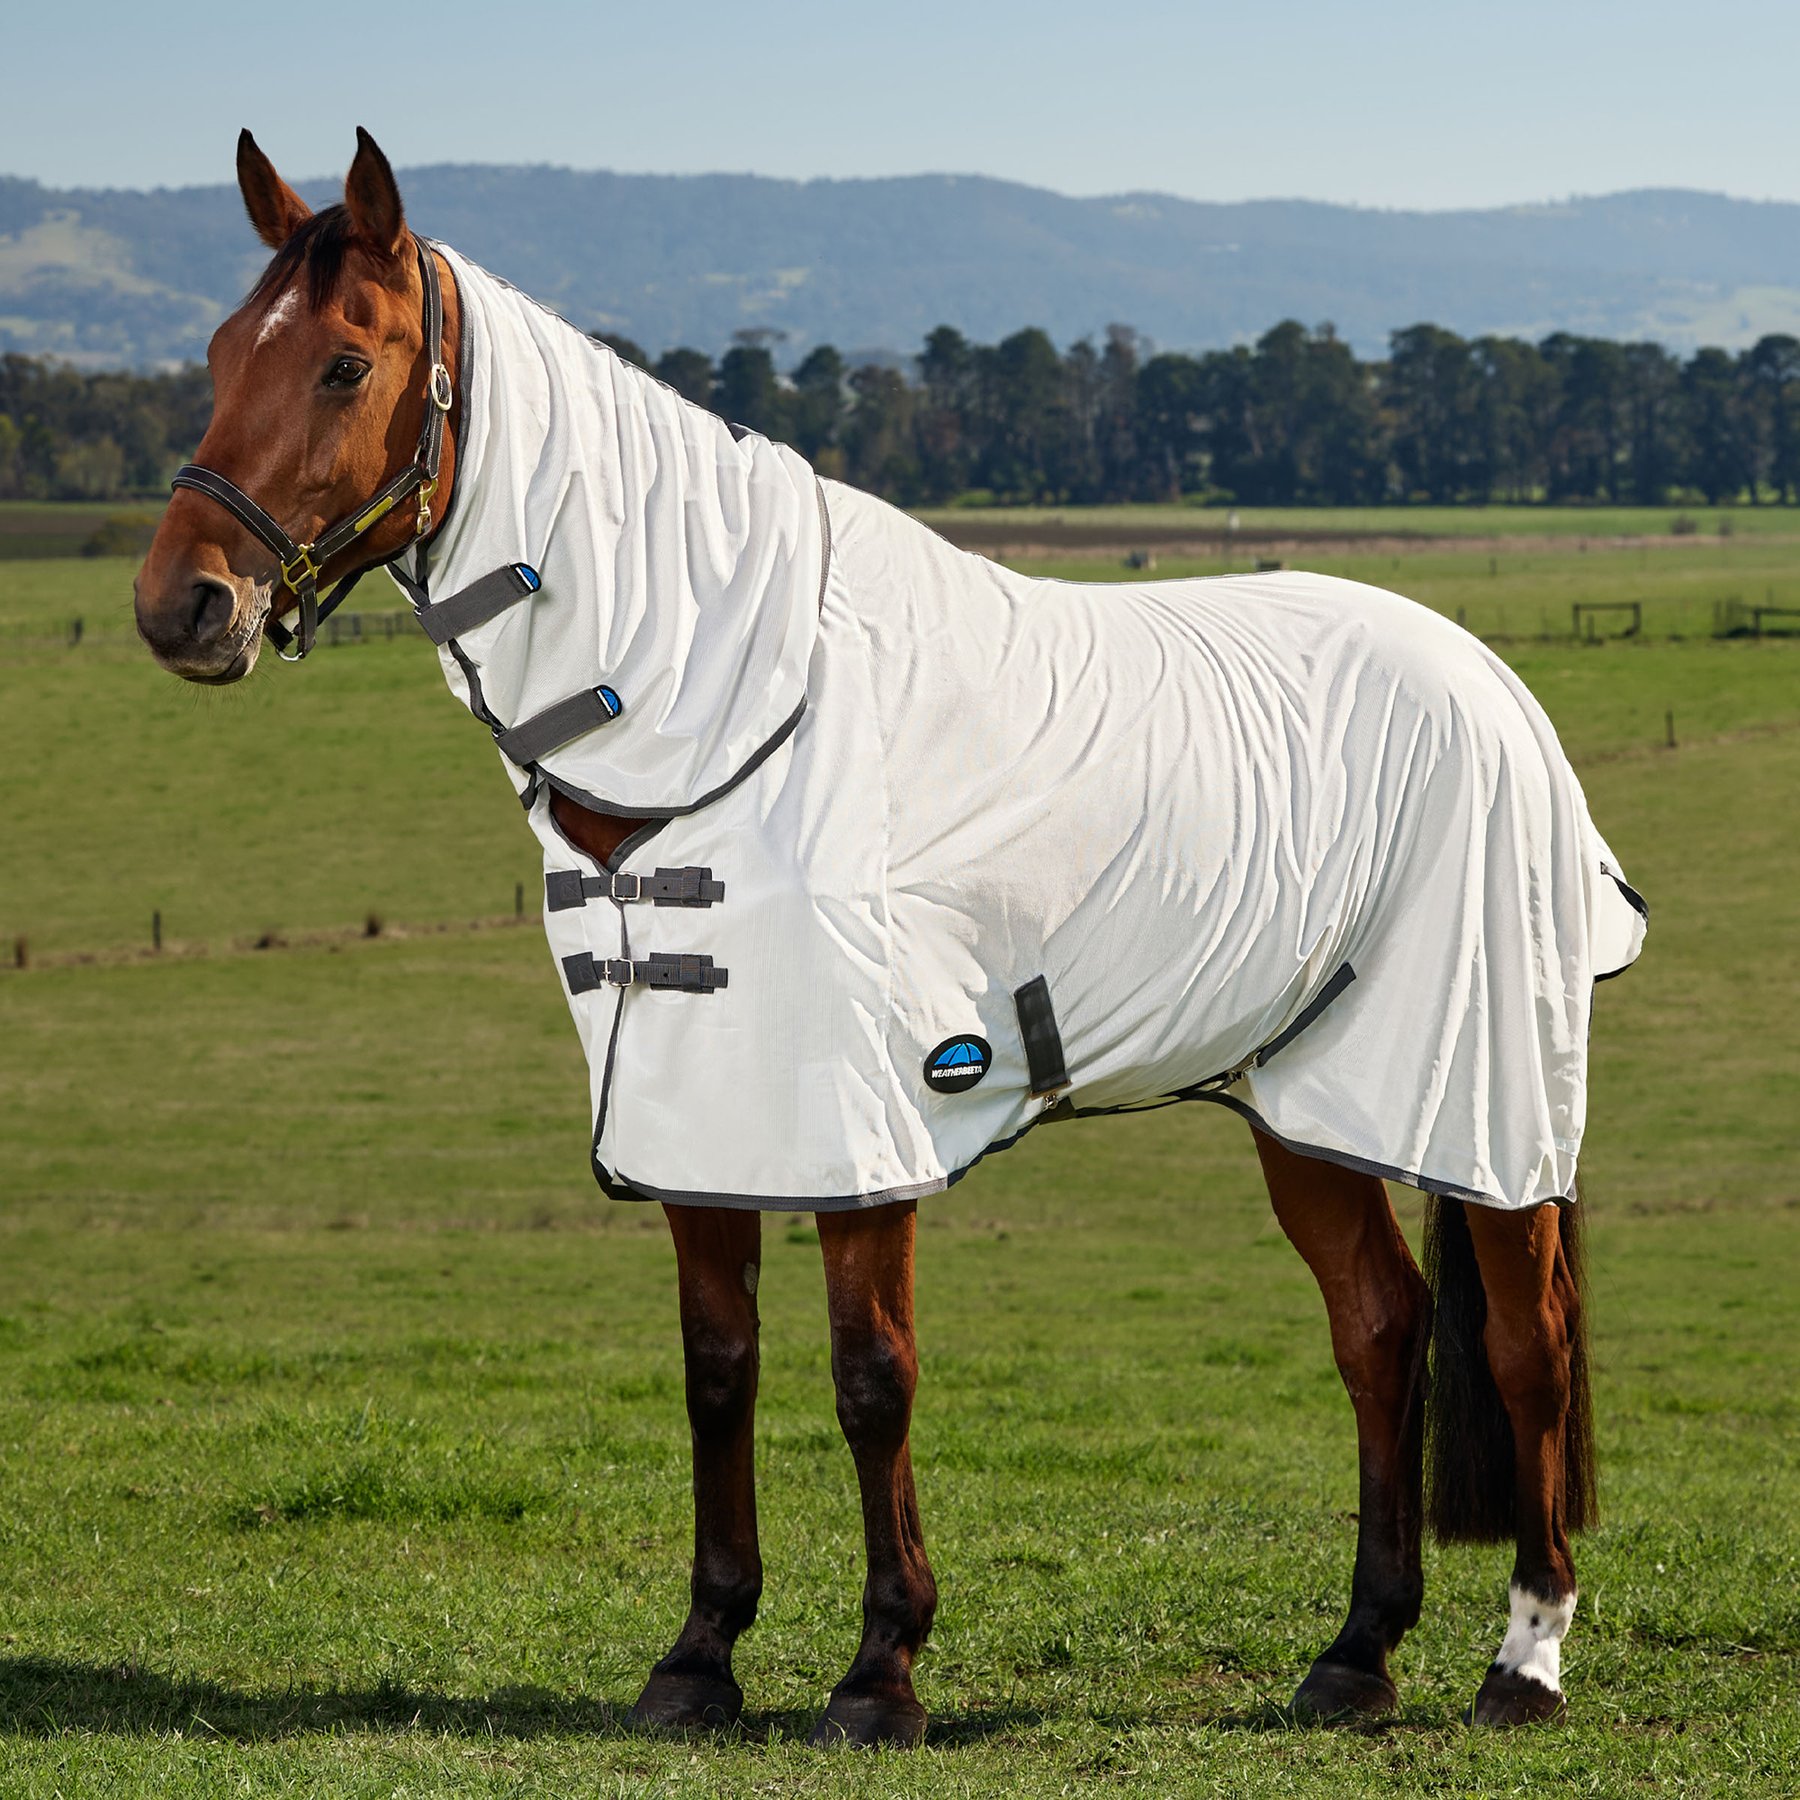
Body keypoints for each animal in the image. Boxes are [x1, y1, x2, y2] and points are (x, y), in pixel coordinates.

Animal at [133, 129, 1645, 1747]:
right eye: (219, 352)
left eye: (347, 364)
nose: (183, 606)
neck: (725, 703)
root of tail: (1487, 677)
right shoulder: (696, 1109)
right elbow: (717, 1371)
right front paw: (698, 1658)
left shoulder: (865, 1115)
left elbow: (872, 1377)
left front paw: (880, 1670)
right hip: (1304, 1098)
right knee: (1380, 1330)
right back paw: (1357, 1653)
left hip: (1483, 1092)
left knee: (1527, 1345)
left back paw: (1523, 1662)